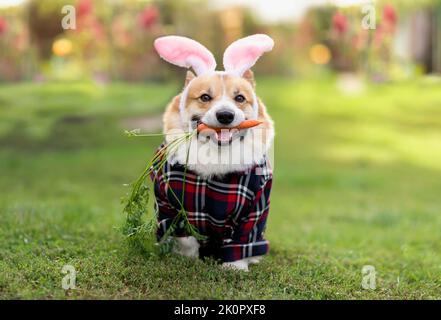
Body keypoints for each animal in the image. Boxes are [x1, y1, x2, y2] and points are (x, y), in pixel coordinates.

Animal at [153, 34, 274, 270]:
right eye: (205, 97)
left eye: (240, 98)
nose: (225, 115)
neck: (216, 153)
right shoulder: (168, 203)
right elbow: (185, 237)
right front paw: (187, 257)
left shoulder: (256, 205)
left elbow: (243, 239)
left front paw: (235, 267)